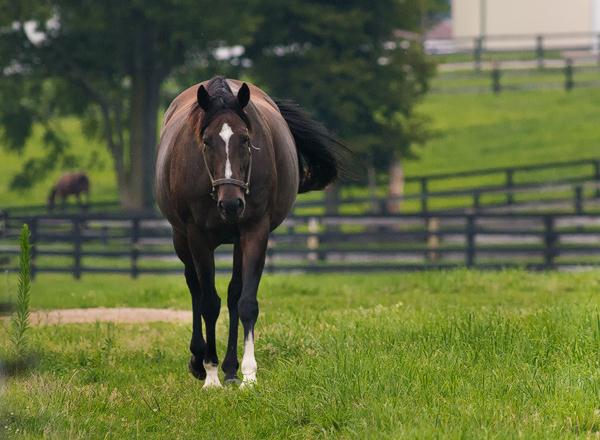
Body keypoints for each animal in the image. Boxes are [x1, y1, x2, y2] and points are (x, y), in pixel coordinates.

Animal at [157, 78, 350, 388]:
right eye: (207, 141)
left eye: (245, 139)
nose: (231, 204)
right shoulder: (198, 237)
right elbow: (209, 303)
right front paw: (210, 374)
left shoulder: (255, 231)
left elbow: (246, 302)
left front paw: (248, 374)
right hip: (181, 239)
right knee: (195, 288)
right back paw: (199, 360)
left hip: (237, 241)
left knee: (233, 293)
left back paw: (231, 369)